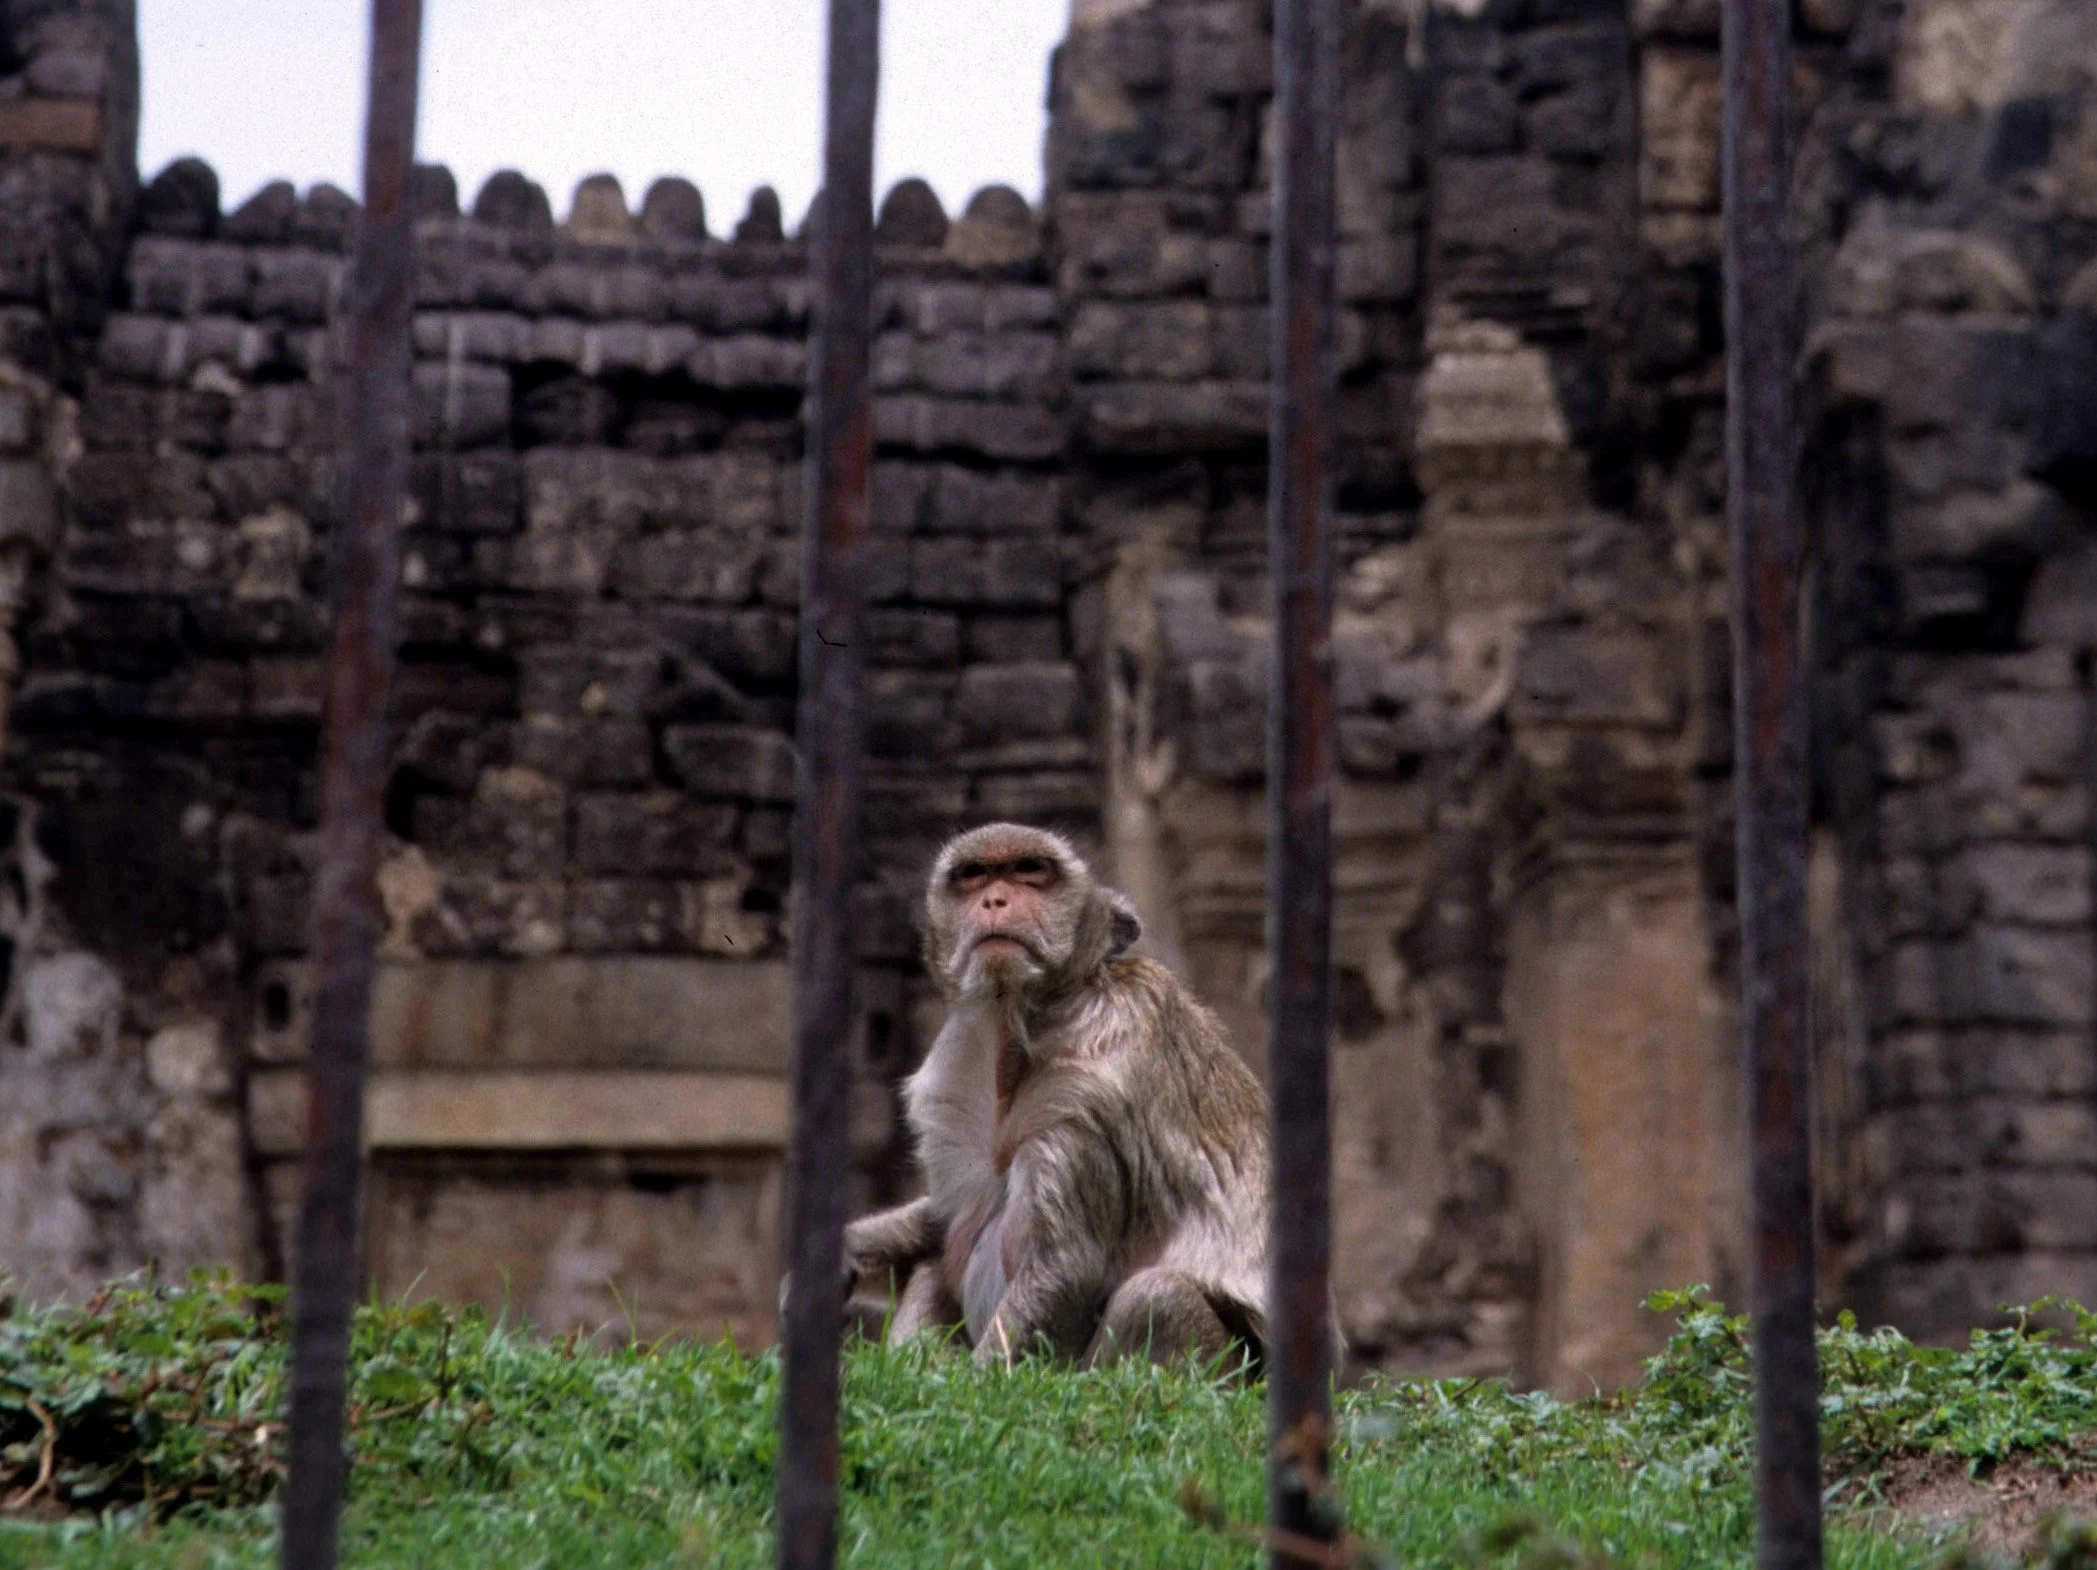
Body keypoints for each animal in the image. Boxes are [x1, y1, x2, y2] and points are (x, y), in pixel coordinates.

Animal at [840, 822, 1273, 1370]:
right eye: (973, 874)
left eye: (1030, 870)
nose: (995, 899)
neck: (1025, 1023)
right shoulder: (956, 1074)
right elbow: (946, 1218)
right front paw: (845, 1250)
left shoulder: (1094, 1084)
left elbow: (1069, 1265)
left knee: (1157, 1296)